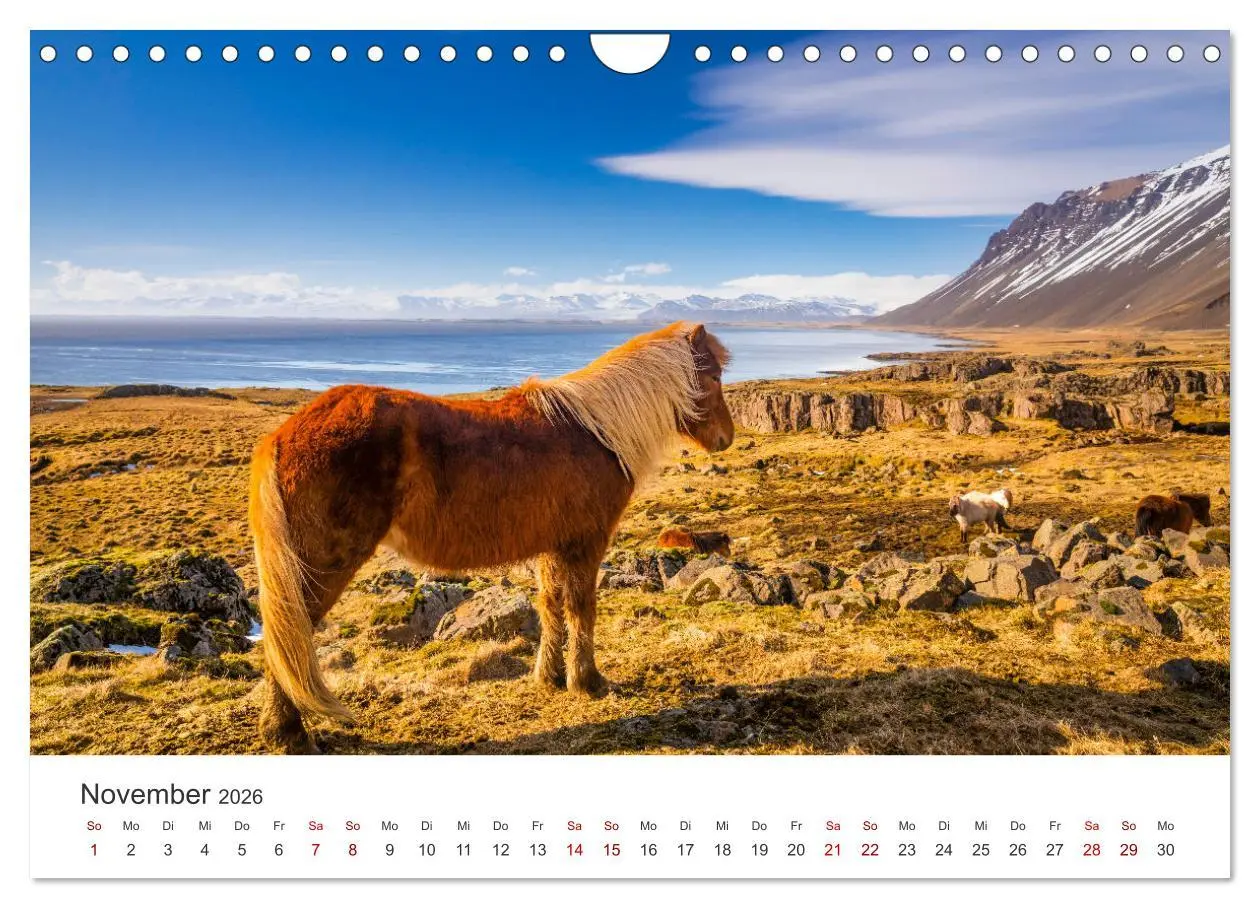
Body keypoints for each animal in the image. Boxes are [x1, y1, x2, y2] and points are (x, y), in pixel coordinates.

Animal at [248, 322, 733, 753]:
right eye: (713, 376)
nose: (726, 439)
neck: (599, 431)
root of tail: (282, 435)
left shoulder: (552, 548)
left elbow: (551, 606)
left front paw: (550, 677)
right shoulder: (585, 544)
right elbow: (581, 610)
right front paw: (588, 681)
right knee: (291, 636)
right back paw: (288, 734)